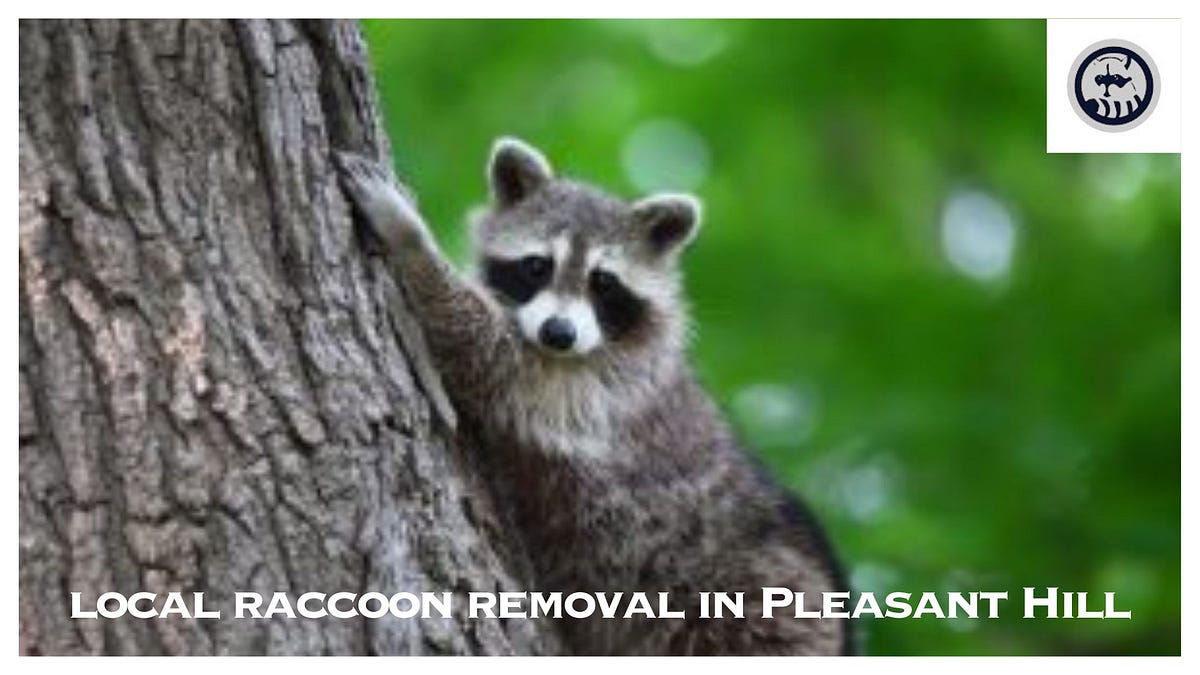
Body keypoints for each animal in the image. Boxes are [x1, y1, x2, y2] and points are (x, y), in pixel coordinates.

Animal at [335, 139, 851, 655]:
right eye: (537, 266)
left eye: (603, 282)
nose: (558, 333)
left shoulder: (602, 390)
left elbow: (488, 353)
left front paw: (411, 239)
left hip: (758, 609)